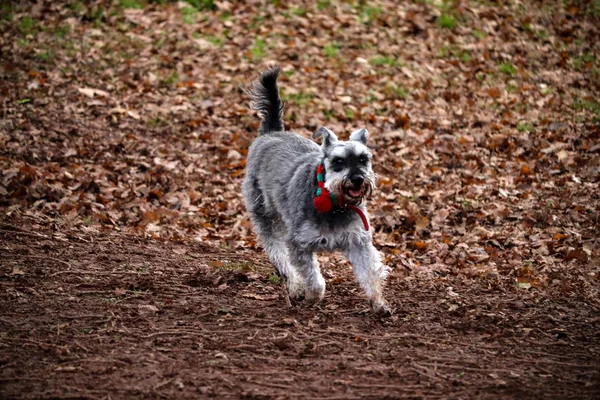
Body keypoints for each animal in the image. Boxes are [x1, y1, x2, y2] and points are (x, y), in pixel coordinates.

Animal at [241, 66, 392, 316]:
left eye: (363, 159)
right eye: (338, 161)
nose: (357, 179)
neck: (334, 203)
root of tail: (271, 133)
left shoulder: (358, 242)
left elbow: (370, 273)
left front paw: (379, 303)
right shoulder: (298, 244)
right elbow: (314, 279)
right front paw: (312, 296)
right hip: (265, 217)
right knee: (279, 254)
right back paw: (295, 286)